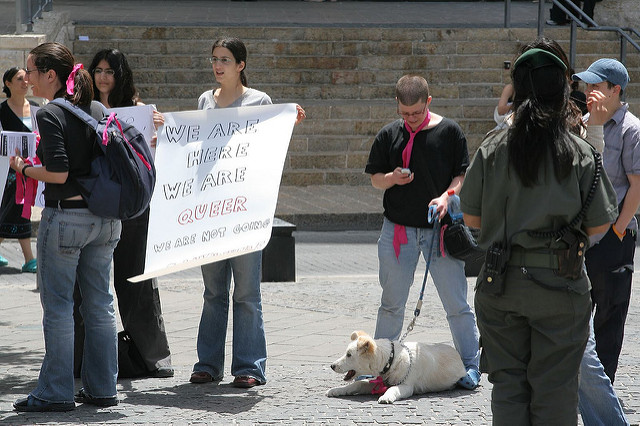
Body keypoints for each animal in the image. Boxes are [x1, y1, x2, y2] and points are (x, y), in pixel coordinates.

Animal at [330, 332, 464, 404]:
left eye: (349, 355)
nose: (332, 366)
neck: (391, 359)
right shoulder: (379, 382)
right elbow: (358, 383)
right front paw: (336, 390)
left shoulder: (407, 387)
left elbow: (392, 389)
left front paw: (386, 397)